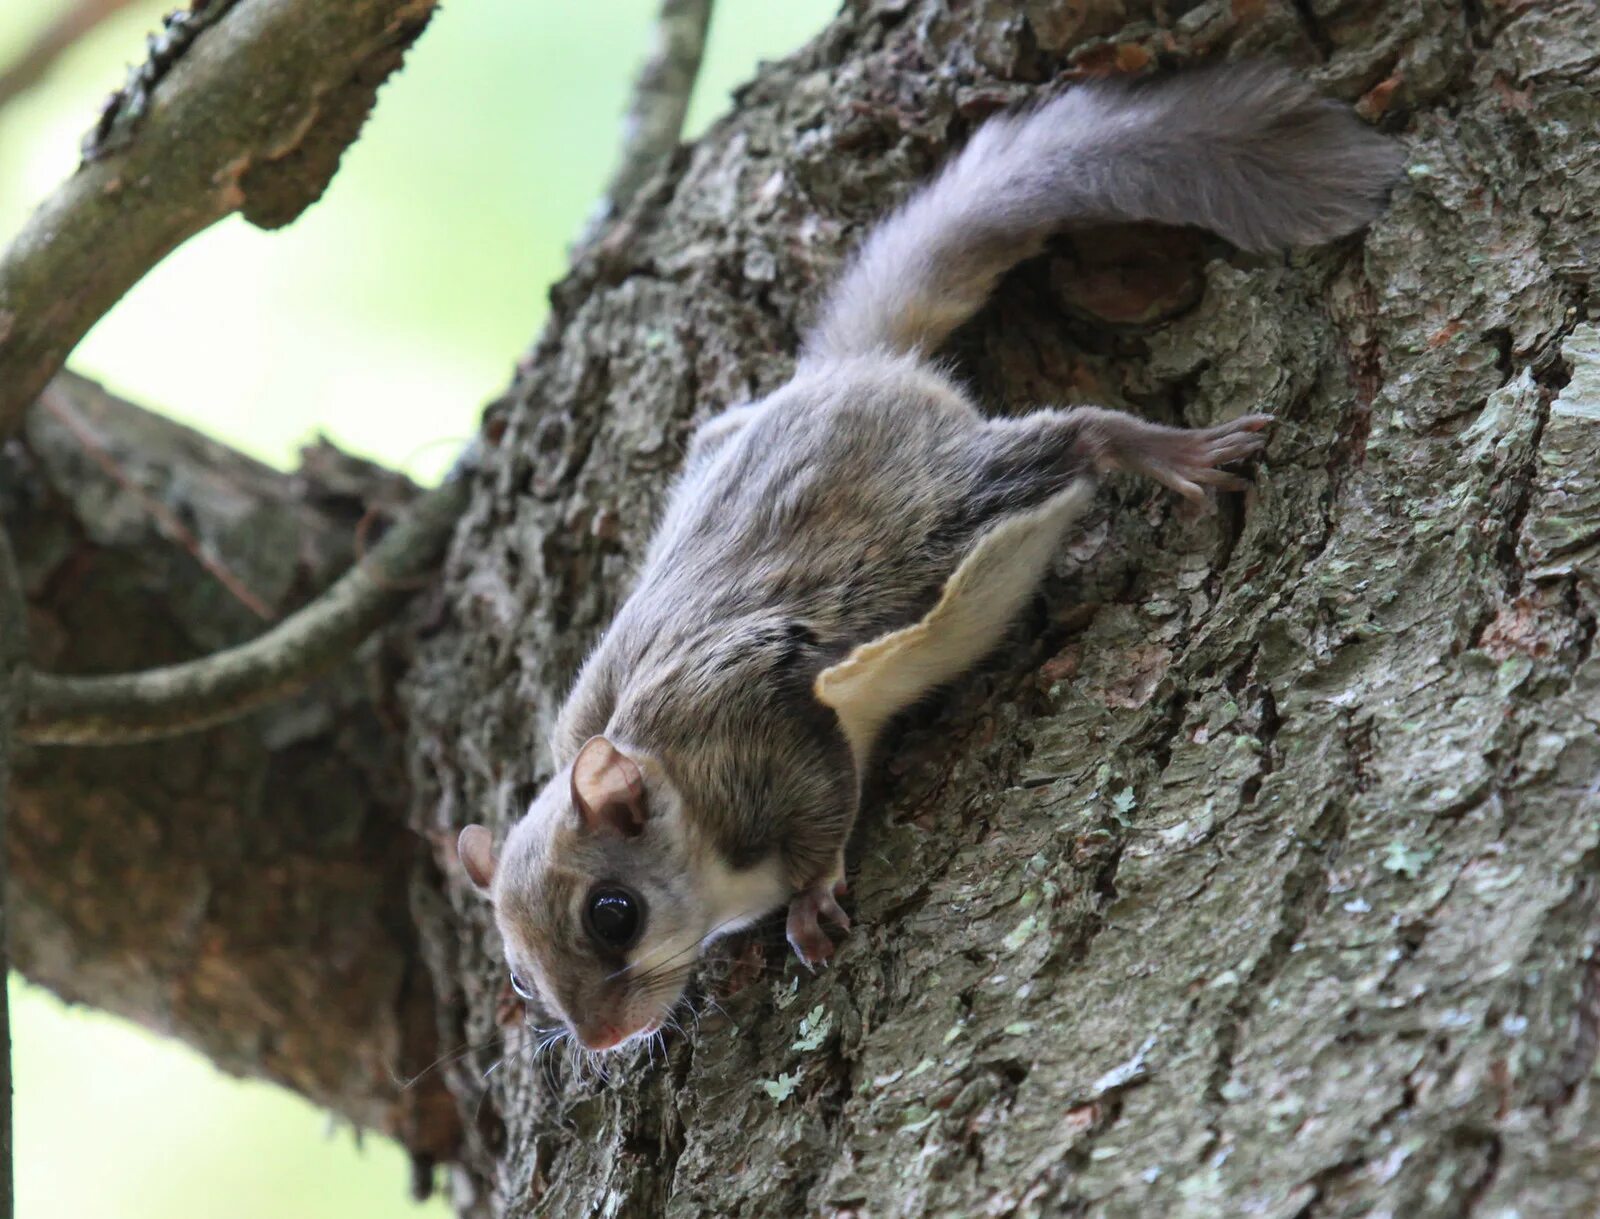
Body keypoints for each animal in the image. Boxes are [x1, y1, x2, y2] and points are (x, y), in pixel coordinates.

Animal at [454, 61, 1401, 1049]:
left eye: (614, 912)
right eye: (518, 978)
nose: (602, 1038)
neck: (671, 780)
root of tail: (851, 371)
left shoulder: (759, 727)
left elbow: (822, 808)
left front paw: (810, 898)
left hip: (961, 506)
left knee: (1072, 438)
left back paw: (1160, 450)